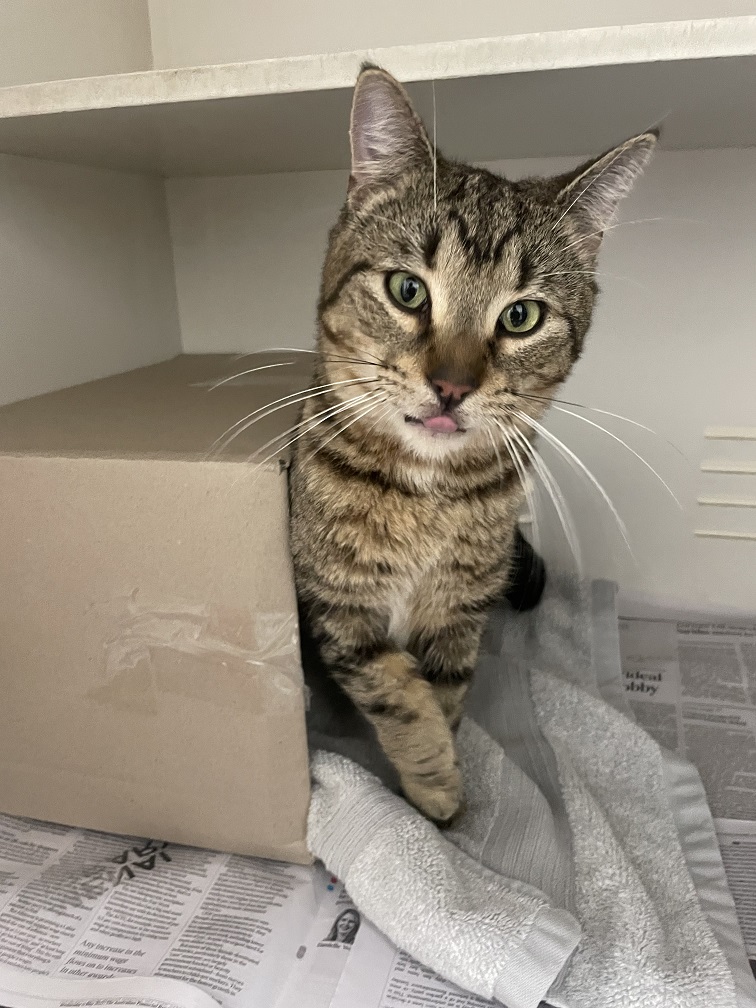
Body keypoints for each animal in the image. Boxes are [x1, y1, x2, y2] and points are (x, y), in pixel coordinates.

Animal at [289, 64, 656, 823]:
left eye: (521, 317)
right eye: (407, 289)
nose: (452, 386)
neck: (425, 500)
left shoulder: (459, 618)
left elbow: (445, 694)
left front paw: (446, 792)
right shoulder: (340, 612)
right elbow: (398, 693)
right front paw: (435, 788)